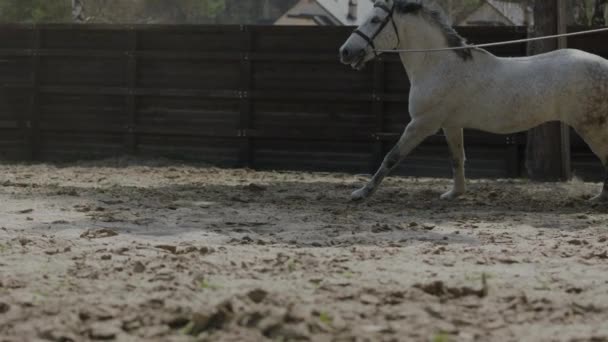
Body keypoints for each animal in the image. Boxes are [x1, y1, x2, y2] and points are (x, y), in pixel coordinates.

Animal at [340, 0, 608, 202]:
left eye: (375, 20)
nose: (345, 52)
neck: (438, 65)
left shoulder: (422, 124)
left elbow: (391, 157)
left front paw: (361, 193)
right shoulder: (450, 125)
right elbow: (457, 158)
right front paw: (454, 194)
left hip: (590, 126)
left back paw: (599, 199)